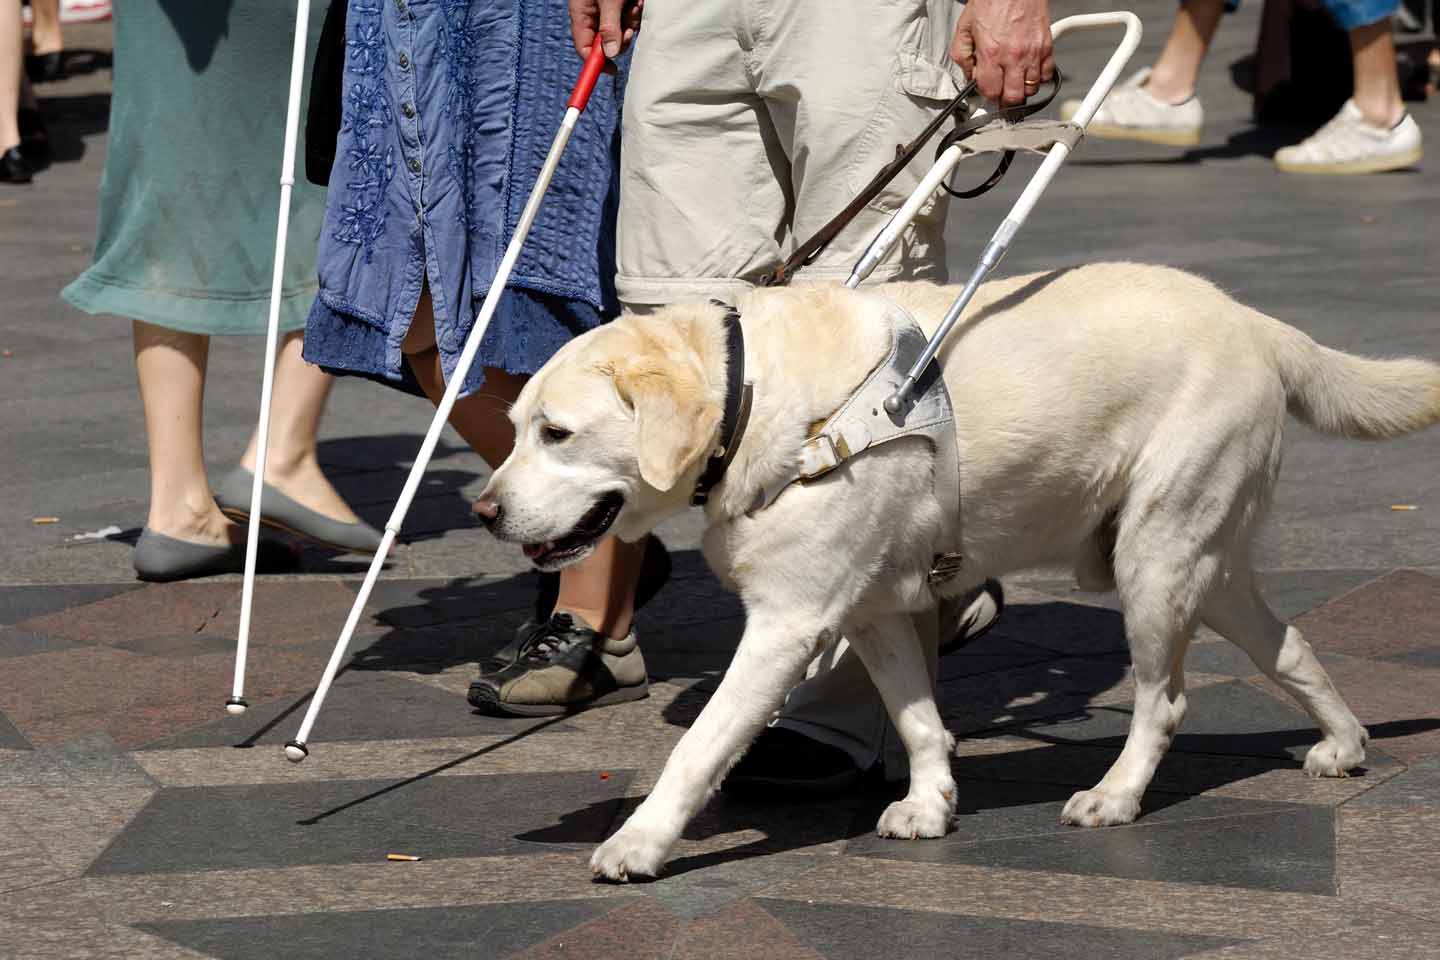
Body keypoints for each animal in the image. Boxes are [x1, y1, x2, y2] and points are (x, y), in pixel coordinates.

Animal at [472, 263, 1440, 880]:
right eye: (514, 428)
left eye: (557, 433)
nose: (483, 511)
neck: (758, 401)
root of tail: (1256, 321)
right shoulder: (869, 610)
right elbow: (918, 719)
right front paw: (933, 804)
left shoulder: (788, 622)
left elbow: (698, 745)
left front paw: (640, 844)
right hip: (1209, 566)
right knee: (1291, 646)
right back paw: (1344, 744)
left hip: (1156, 562)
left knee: (1164, 702)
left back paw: (1116, 795)